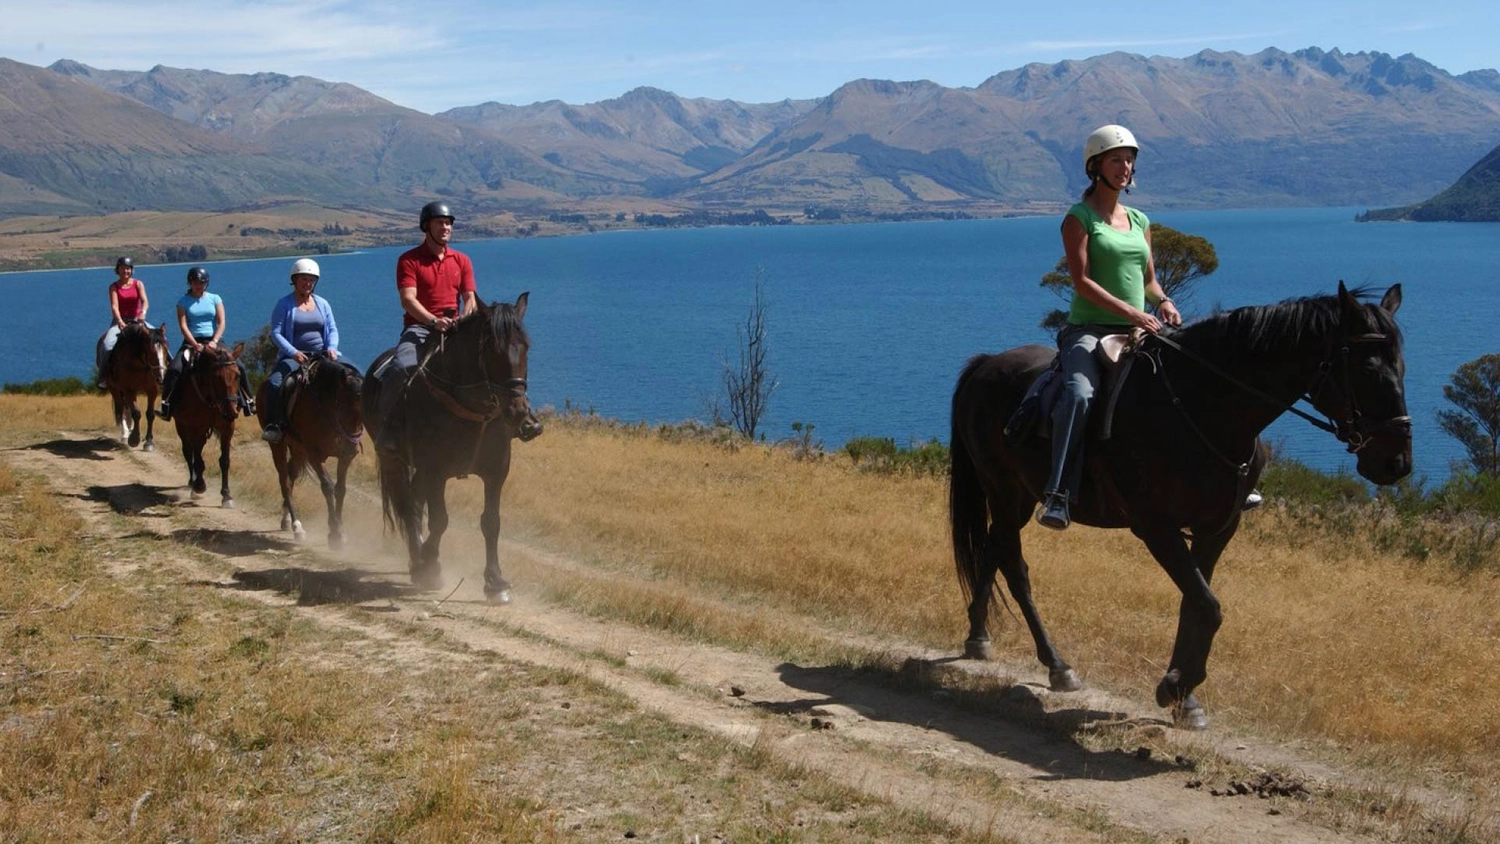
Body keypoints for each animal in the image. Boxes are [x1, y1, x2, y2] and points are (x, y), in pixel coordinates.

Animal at [177, 343, 247, 509]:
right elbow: (198, 460)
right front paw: (199, 486)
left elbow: (225, 461)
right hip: (182, 426)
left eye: (237, 375)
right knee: (188, 452)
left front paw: (227, 495)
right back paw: (193, 483)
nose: (230, 412)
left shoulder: (227, 428)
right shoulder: (195, 427)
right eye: (216, 377)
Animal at [255, 355, 363, 548]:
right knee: (285, 481)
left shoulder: (345, 457)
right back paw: (297, 527)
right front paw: (334, 533)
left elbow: (341, 489)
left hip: (298, 450)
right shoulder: (314, 454)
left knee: (291, 477)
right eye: (343, 403)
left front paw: (340, 530)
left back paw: (287, 520)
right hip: (279, 446)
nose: (353, 442)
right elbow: (327, 486)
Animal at [360, 293, 543, 605]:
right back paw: (419, 560)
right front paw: (430, 566)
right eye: (492, 349)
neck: (470, 410)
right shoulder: (435, 471)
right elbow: (440, 520)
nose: (518, 412)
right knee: (408, 507)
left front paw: (495, 582)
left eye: (526, 347)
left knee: (415, 501)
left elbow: (491, 522)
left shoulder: (496, 472)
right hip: (396, 460)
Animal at [954, 281, 1410, 725]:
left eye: (1402, 367)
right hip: (1004, 491)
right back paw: (1056, 664)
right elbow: (1208, 606)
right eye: (1368, 369)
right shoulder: (1156, 528)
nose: (1396, 462)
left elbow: (1196, 603)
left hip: (1018, 498)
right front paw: (1175, 687)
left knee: (992, 548)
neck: (1203, 407)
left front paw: (1183, 695)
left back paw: (978, 636)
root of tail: (988, 364)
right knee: (1016, 569)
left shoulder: (1218, 528)